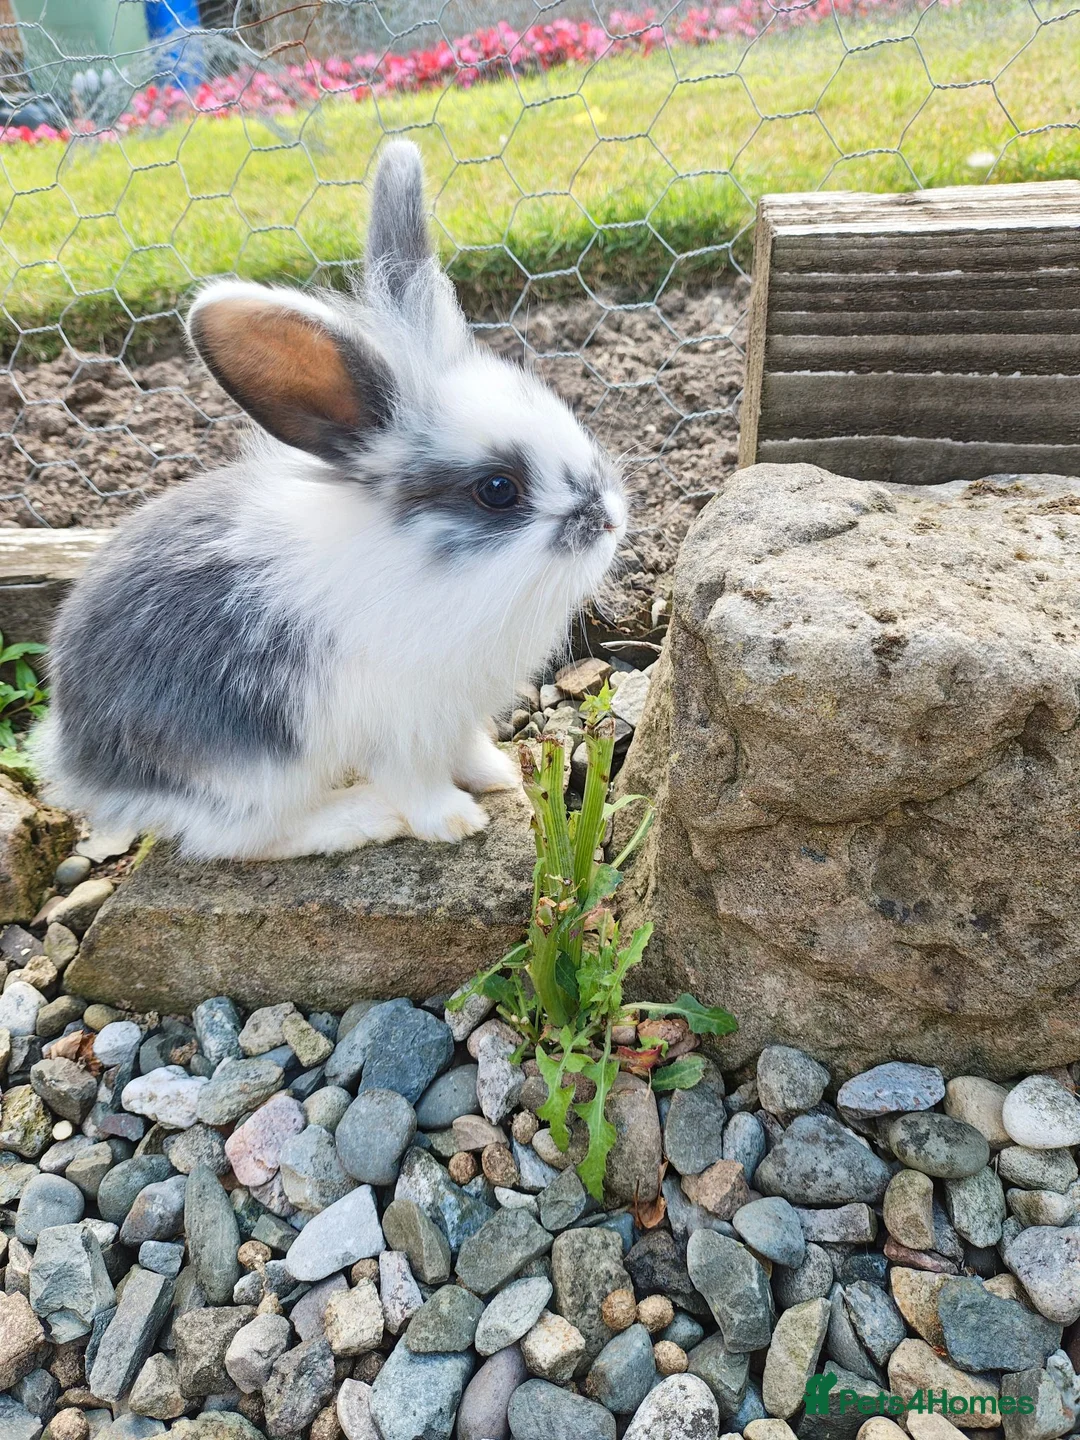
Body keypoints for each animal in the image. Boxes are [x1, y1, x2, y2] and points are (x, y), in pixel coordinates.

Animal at [33, 141, 628, 861]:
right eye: (497, 490)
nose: (611, 520)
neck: (419, 563)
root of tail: (76, 759)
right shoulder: (397, 720)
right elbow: (414, 780)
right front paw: (454, 820)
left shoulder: (453, 711)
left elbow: (466, 747)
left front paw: (497, 776)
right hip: (255, 768)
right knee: (241, 837)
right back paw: (361, 819)